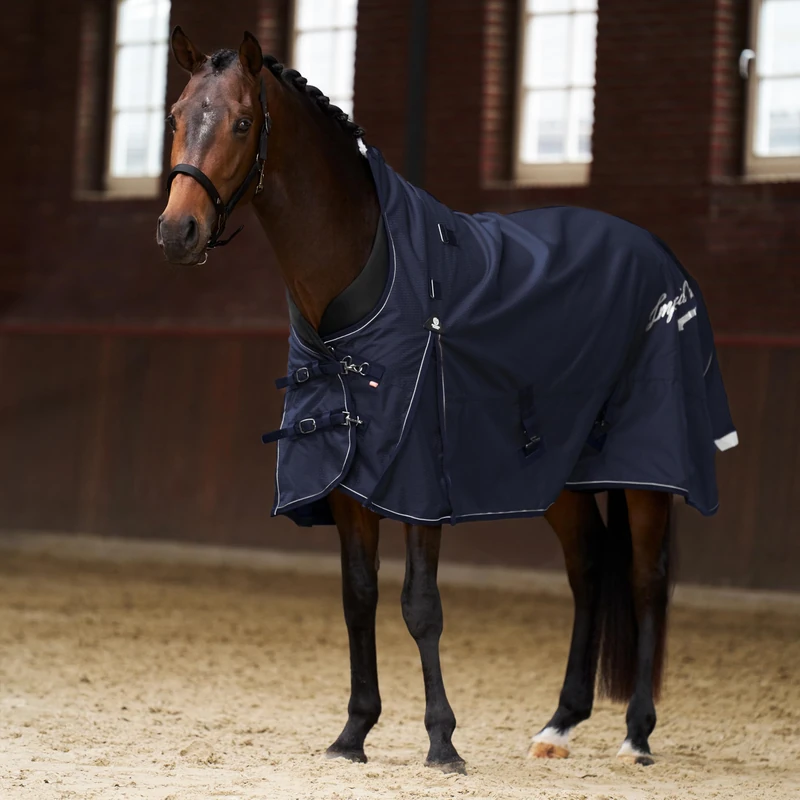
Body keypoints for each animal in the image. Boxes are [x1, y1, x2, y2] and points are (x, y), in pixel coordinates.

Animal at [157, 28, 737, 774]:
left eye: (241, 122)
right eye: (175, 116)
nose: (179, 231)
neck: (367, 276)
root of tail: (658, 254)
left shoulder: (419, 481)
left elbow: (420, 605)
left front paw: (442, 741)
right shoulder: (349, 480)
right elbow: (359, 597)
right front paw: (354, 733)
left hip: (646, 469)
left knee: (645, 577)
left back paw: (636, 734)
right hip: (559, 473)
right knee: (587, 570)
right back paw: (560, 724)